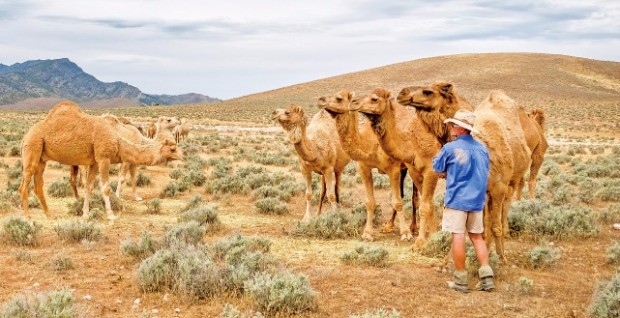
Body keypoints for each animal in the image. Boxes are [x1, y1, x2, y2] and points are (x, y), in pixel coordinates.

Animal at [19, 102, 183, 221]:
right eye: (173, 148)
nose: (183, 154)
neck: (118, 140)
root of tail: (25, 136)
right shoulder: (104, 158)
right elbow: (105, 187)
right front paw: (111, 215)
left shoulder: (95, 162)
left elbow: (89, 187)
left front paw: (85, 214)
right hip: (32, 147)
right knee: (24, 185)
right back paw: (28, 217)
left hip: (41, 158)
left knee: (38, 186)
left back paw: (49, 214)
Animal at [314, 90, 416, 240]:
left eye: (339, 98)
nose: (320, 100)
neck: (370, 143)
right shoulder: (363, 167)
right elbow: (369, 202)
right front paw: (367, 233)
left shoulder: (393, 169)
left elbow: (397, 201)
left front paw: (405, 233)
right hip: (403, 169)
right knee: (404, 193)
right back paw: (388, 226)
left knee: (415, 196)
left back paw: (413, 227)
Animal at [394, 82, 532, 260]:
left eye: (428, 91)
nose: (401, 93)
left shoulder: (499, 187)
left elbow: (495, 225)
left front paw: (501, 258)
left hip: (511, 182)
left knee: (502, 214)